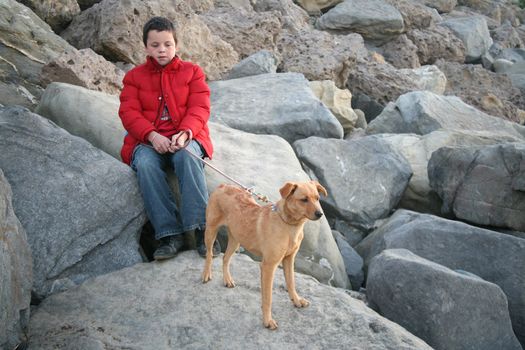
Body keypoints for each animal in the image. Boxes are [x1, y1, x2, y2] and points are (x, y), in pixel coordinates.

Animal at [202, 182, 328, 330]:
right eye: (304, 199)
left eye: (317, 198)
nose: (320, 214)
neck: (290, 225)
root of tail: (223, 185)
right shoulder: (268, 266)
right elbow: (268, 298)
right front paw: (268, 320)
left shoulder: (289, 260)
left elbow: (291, 283)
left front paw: (296, 300)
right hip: (210, 231)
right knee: (209, 254)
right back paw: (206, 274)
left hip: (236, 239)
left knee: (225, 258)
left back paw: (227, 280)